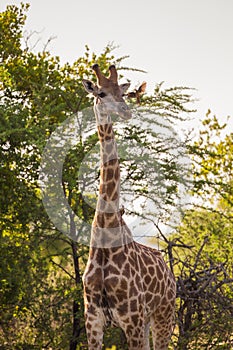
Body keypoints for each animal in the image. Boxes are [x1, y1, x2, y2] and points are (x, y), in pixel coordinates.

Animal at [82, 64, 175, 348]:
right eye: (101, 92)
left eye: (121, 92)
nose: (125, 110)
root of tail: (169, 272)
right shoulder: (93, 321)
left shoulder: (131, 318)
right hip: (146, 321)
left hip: (163, 315)